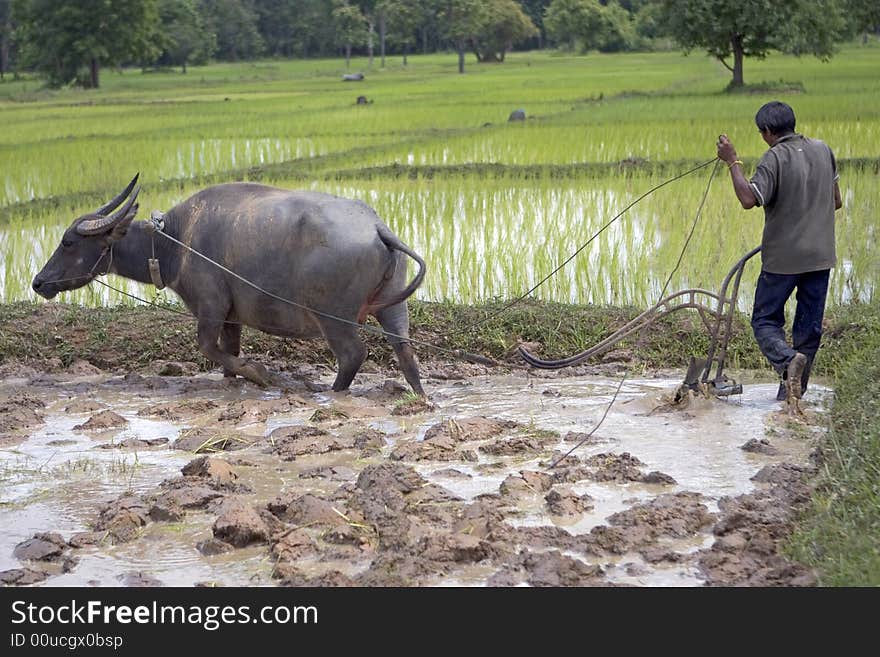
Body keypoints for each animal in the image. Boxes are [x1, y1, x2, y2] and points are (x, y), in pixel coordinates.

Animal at [34, 174, 430, 398]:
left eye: (68, 242)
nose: (39, 282)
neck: (175, 242)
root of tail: (377, 226)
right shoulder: (231, 317)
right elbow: (228, 353)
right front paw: (235, 377)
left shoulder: (210, 307)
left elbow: (208, 347)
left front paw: (259, 373)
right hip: (392, 309)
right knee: (405, 351)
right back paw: (419, 396)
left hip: (333, 317)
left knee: (352, 355)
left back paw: (333, 393)